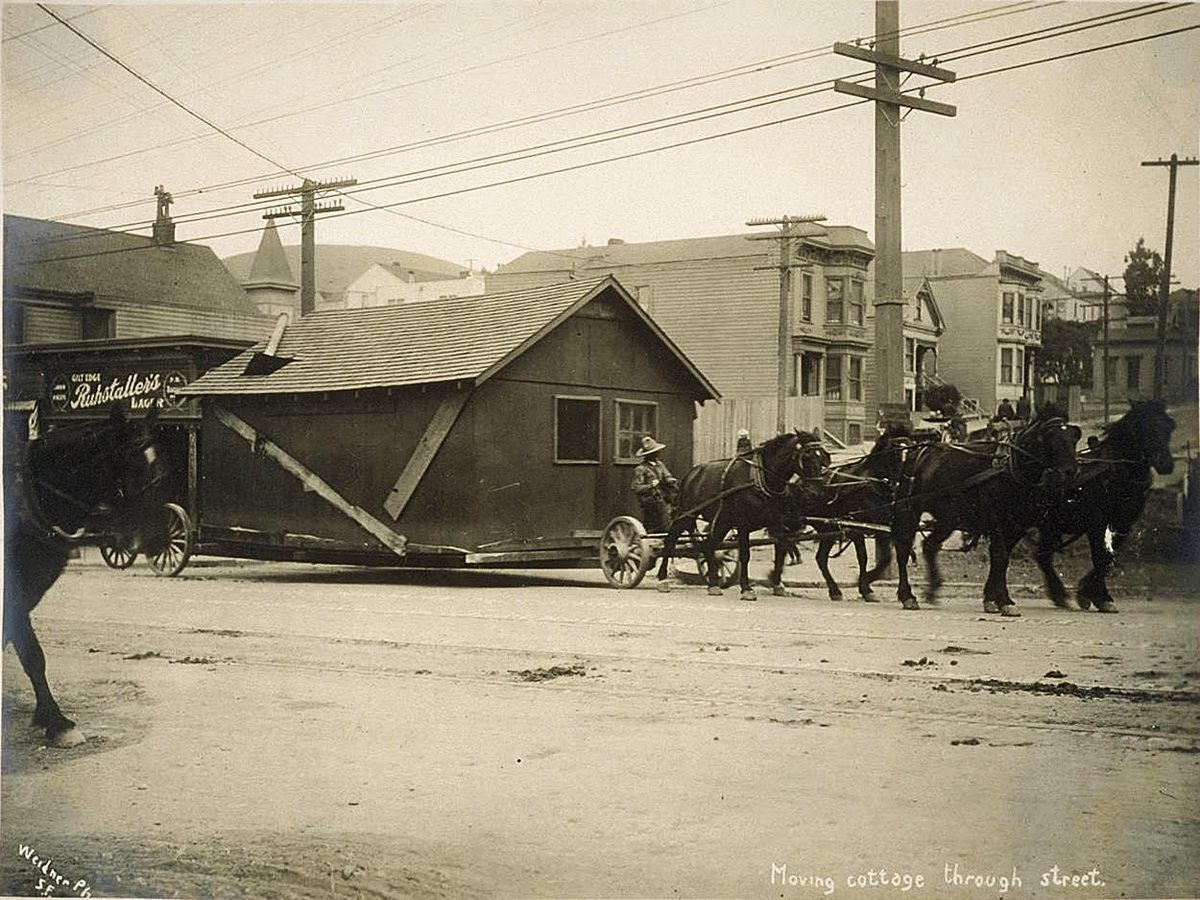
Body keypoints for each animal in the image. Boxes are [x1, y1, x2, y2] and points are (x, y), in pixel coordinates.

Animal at [4, 405, 166, 748]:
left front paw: (52, 719)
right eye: (130, 467)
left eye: (162, 469)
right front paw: (56, 721)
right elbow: (31, 653)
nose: (160, 538)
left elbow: (31, 653)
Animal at [652, 429, 830, 600]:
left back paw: (713, 584)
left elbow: (781, 550)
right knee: (671, 540)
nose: (815, 492)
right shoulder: (743, 524)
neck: (761, 479)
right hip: (687, 515)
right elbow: (745, 555)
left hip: (722, 522)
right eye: (806, 457)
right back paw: (663, 579)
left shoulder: (777, 522)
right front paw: (746, 588)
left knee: (709, 546)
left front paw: (777, 584)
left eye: (821, 457)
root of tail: (691, 473)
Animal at [811, 424, 912, 607]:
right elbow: (863, 557)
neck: (870, 482)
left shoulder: (882, 527)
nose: (906, 483)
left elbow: (887, 559)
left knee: (821, 558)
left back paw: (834, 591)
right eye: (895, 452)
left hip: (828, 528)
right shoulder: (856, 527)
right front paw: (866, 588)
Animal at [888, 410, 1084, 619]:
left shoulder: (1016, 527)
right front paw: (1004, 600)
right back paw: (907, 596)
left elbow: (1000, 560)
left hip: (949, 518)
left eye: (1073, 439)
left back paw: (932, 589)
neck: (1011, 467)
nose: (1071, 472)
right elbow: (1000, 556)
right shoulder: (996, 521)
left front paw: (992, 598)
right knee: (903, 550)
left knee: (930, 546)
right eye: (1052, 439)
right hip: (909, 511)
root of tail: (917, 451)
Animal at [1027, 400, 1176, 614]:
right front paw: (1100, 597)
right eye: (1144, 428)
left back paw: (1059, 595)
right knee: (1042, 555)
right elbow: (1100, 557)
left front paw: (1089, 592)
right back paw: (1059, 594)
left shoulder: (1123, 524)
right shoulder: (1097, 523)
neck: (1117, 474)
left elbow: (1109, 558)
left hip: (1051, 525)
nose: (1166, 464)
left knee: (1043, 556)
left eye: (1169, 427)